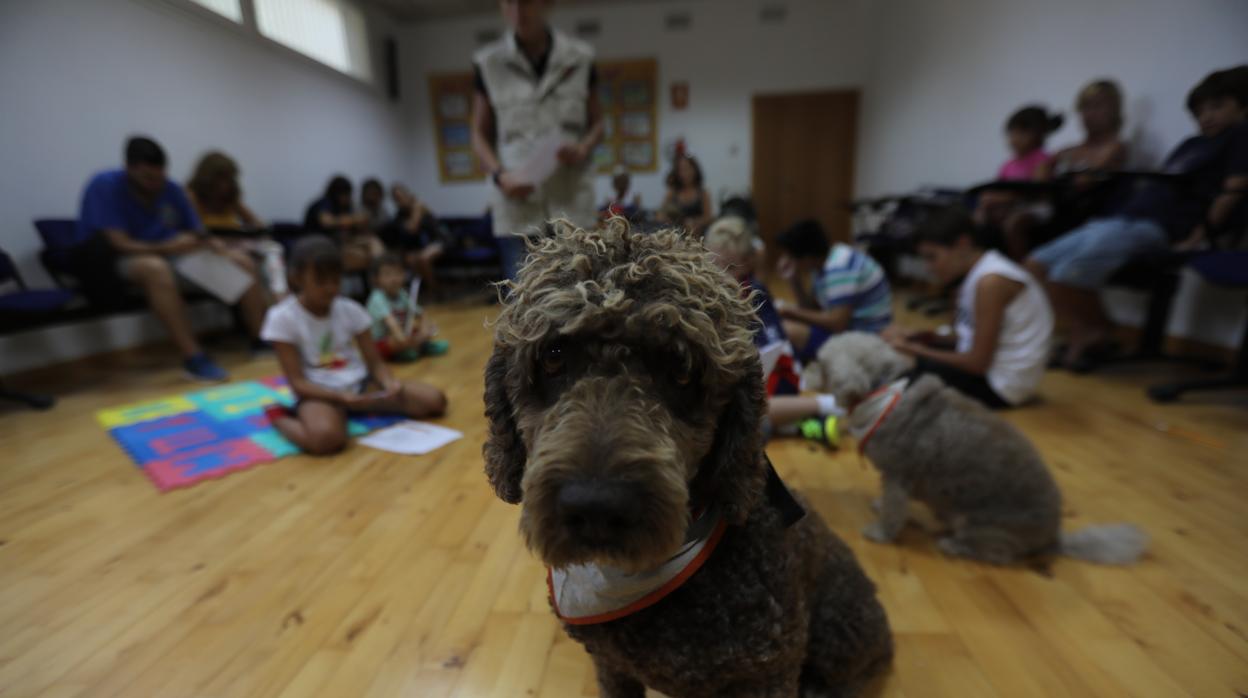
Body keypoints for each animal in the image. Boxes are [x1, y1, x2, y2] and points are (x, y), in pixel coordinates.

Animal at [476, 221, 888, 694]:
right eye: (553, 356)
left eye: (682, 368)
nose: (596, 507)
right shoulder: (613, 668)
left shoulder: (771, 672)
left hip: (839, 639)